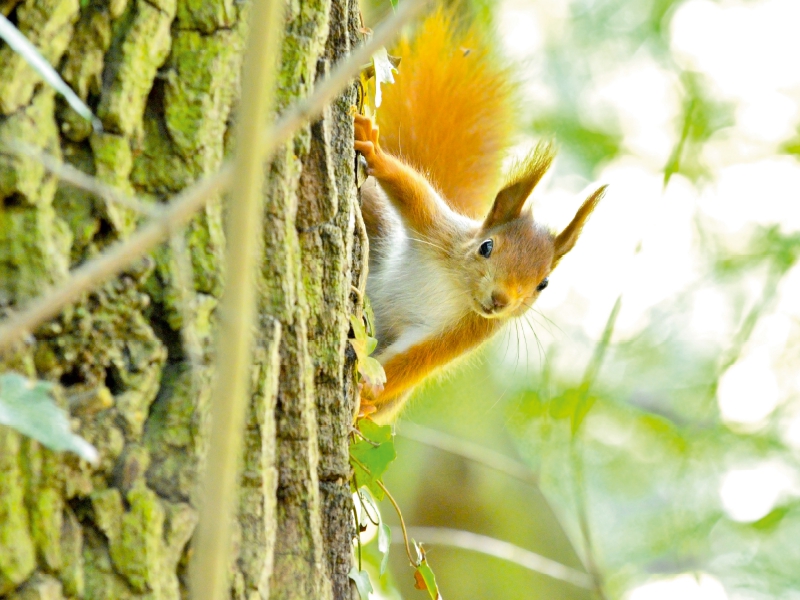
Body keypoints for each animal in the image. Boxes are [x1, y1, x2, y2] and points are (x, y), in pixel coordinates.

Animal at [354, 9, 604, 422]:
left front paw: (364, 393)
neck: (457, 288)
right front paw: (373, 151)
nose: (501, 300)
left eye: (544, 284)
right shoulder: (438, 230)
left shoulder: (470, 332)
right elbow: (411, 189)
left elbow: (415, 363)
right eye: (486, 247)